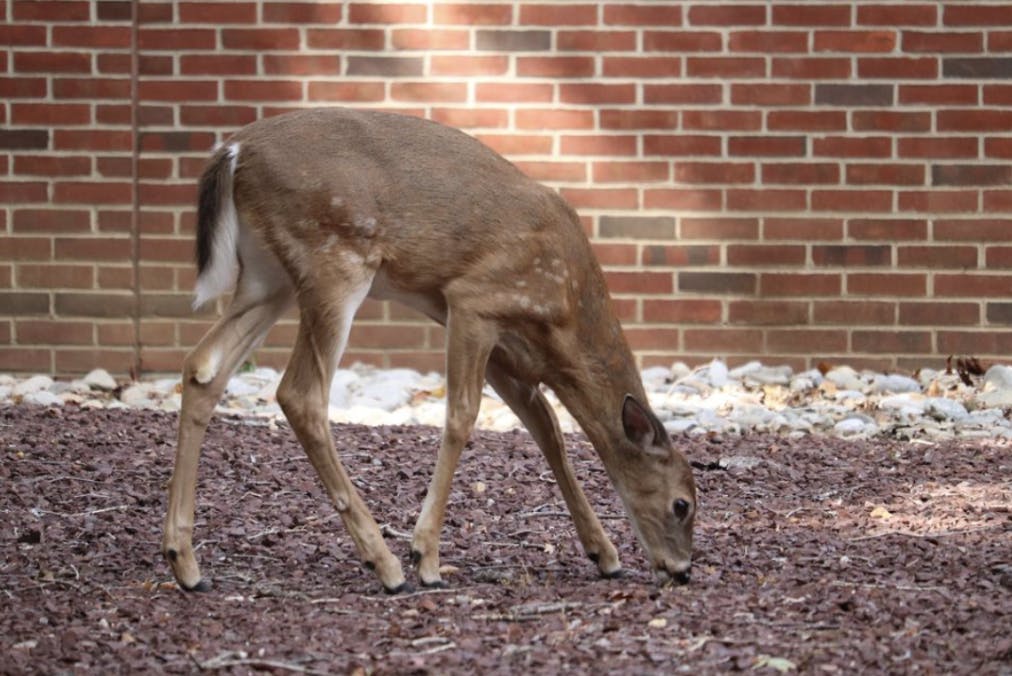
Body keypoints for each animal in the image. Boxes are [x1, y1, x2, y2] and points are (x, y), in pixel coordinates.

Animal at [161, 107, 697, 594]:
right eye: (682, 504)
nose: (683, 570)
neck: (564, 317)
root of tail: (233, 151)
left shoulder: (507, 352)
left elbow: (547, 430)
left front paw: (603, 553)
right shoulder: (473, 302)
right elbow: (462, 417)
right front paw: (426, 557)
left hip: (267, 277)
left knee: (203, 368)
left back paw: (186, 564)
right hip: (333, 260)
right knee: (300, 393)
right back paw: (386, 565)